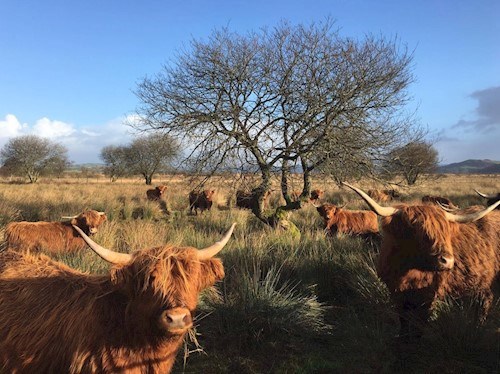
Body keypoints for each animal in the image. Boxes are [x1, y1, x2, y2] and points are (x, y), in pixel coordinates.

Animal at [344, 183, 500, 338]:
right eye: (416, 230)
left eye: (445, 232)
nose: (448, 261)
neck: (407, 271)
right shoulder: (397, 294)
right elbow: (404, 321)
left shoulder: (429, 296)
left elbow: (420, 323)